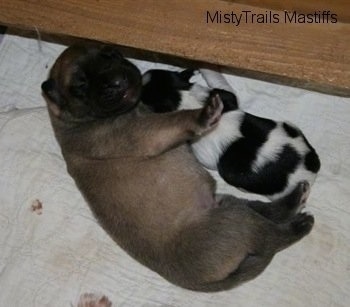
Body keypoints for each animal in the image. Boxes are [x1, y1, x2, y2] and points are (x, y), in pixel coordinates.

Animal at [142, 69, 320, 200]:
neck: (184, 97)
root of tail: (313, 167)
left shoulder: (202, 152)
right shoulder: (225, 94)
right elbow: (219, 80)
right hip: (291, 127)